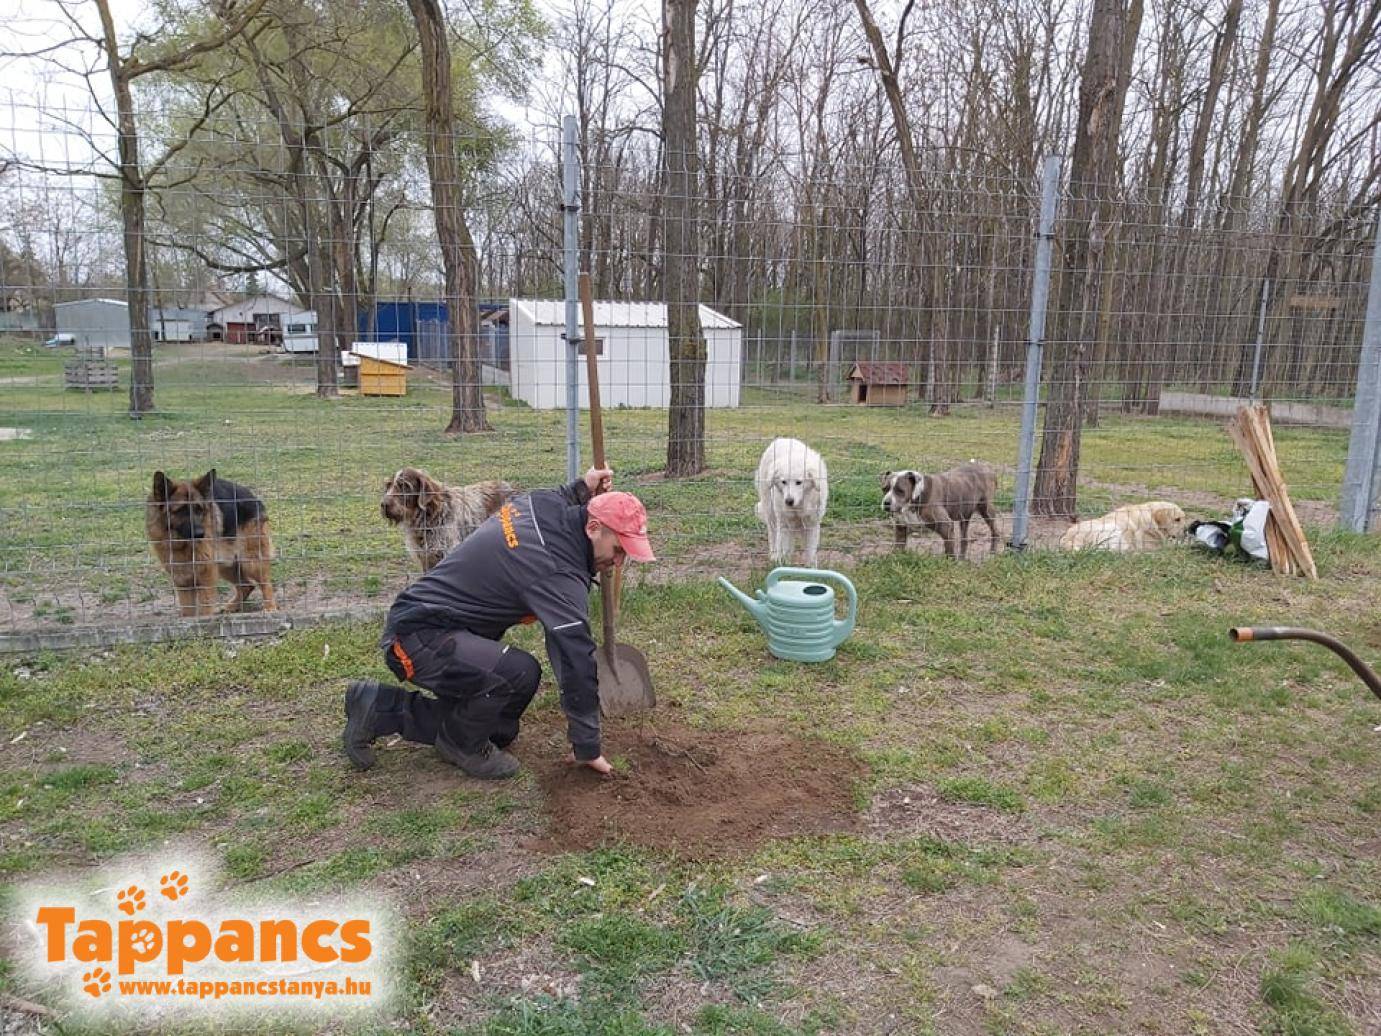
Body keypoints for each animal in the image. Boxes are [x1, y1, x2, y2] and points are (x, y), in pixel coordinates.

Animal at [147, 469, 277, 617]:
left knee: (266, 584)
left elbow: (205, 606)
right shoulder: (182, 580)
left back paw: (270, 608)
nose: (200, 534)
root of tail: (253, 497)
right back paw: (233, 606)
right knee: (247, 585)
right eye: (181, 510)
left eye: (199, 509)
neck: (180, 543)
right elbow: (188, 610)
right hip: (225, 564)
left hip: (250, 561)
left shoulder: (205, 576)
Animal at [381, 467, 514, 571]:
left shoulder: (446, 553)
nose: (383, 505)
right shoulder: (426, 558)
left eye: (404, 486)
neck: (428, 515)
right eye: (388, 485)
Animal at [755, 437, 829, 566]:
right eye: (784, 482)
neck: (798, 507)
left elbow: (810, 552)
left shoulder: (812, 524)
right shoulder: (785, 524)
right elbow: (785, 550)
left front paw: (811, 568)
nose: (789, 501)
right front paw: (785, 566)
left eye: (798, 482)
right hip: (770, 511)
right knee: (772, 533)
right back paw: (774, 555)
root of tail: (781, 438)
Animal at [1059, 501, 1188, 552]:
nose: (1186, 531)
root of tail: (1069, 538)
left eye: (1184, 518)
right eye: (1177, 519)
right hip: (1113, 529)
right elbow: (1171, 544)